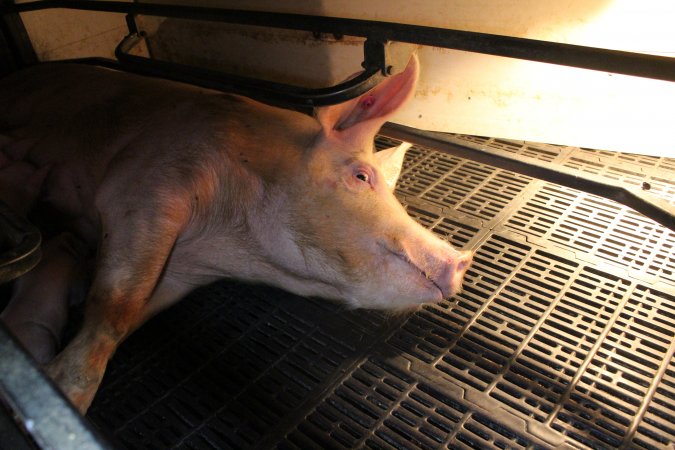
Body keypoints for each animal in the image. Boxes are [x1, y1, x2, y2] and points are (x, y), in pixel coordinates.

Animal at [0, 57, 472, 414]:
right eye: (361, 176)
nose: (460, 260)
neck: (231, 243)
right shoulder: (144, 187)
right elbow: (115, 309)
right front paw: (61, 395)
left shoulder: (184, 271)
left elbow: (131, 319)